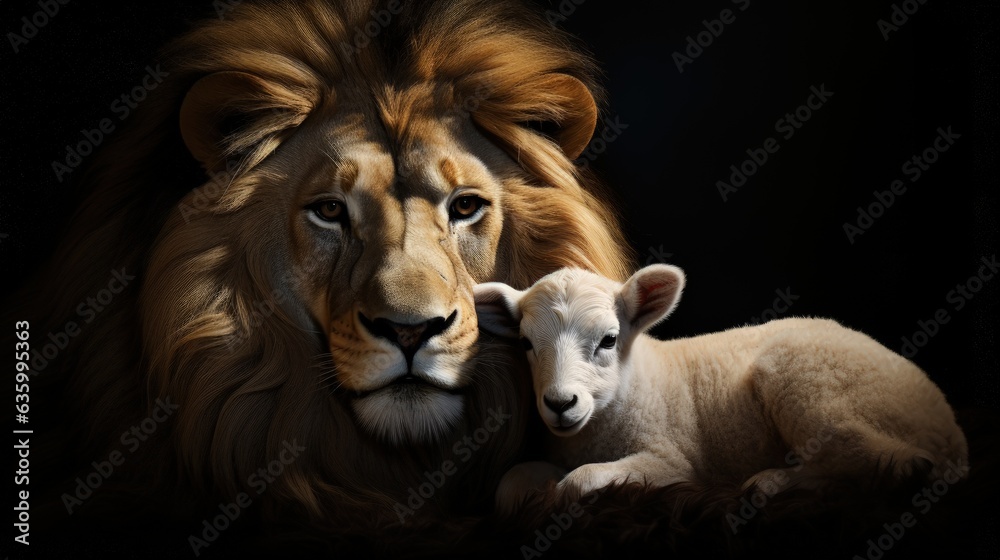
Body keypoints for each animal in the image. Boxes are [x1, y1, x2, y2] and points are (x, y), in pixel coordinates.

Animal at [474, 264, 969, 507]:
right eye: (525, 343)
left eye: (609, 339)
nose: (560, 403)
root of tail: (950, 431)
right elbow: (508, 486)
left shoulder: (675, 461)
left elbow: (580, 482)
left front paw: (563, 491)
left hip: (811, 384)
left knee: (896, 463)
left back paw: (772, 484)